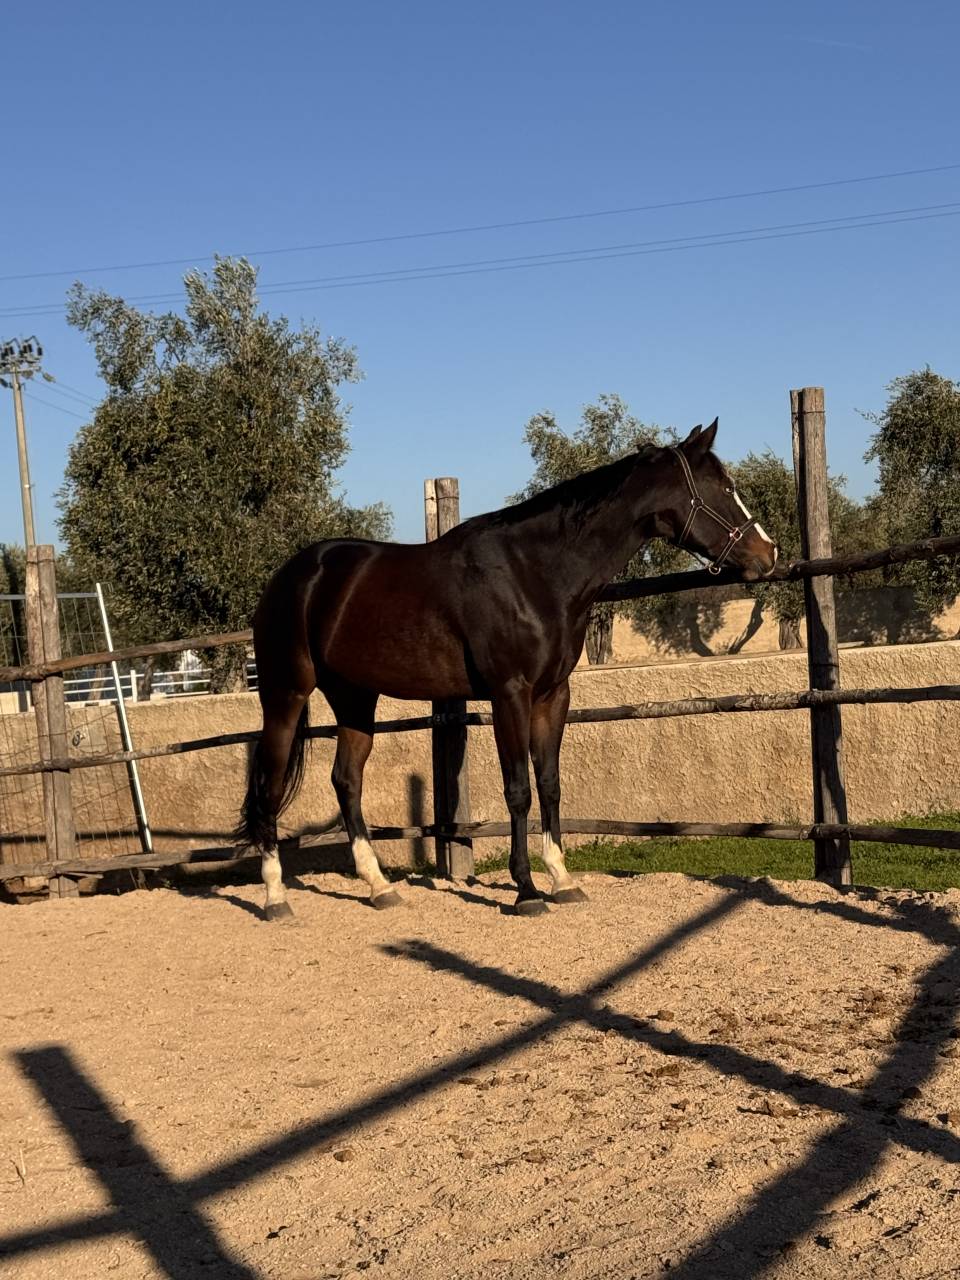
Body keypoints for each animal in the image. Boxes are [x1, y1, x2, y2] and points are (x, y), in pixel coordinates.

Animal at [237, 419, 778, 920]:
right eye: (723, 487)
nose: (767, 554)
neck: (535, 572)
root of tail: (291, 576)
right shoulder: (508, 694)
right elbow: (518, 789)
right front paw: (526, 890)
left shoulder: (552, 695)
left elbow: (550, 784)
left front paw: (562, 879)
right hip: (286, 694)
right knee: (270, 782)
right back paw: (275, 896)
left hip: (354, 697)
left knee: (347, 781)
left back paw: (379, 887)